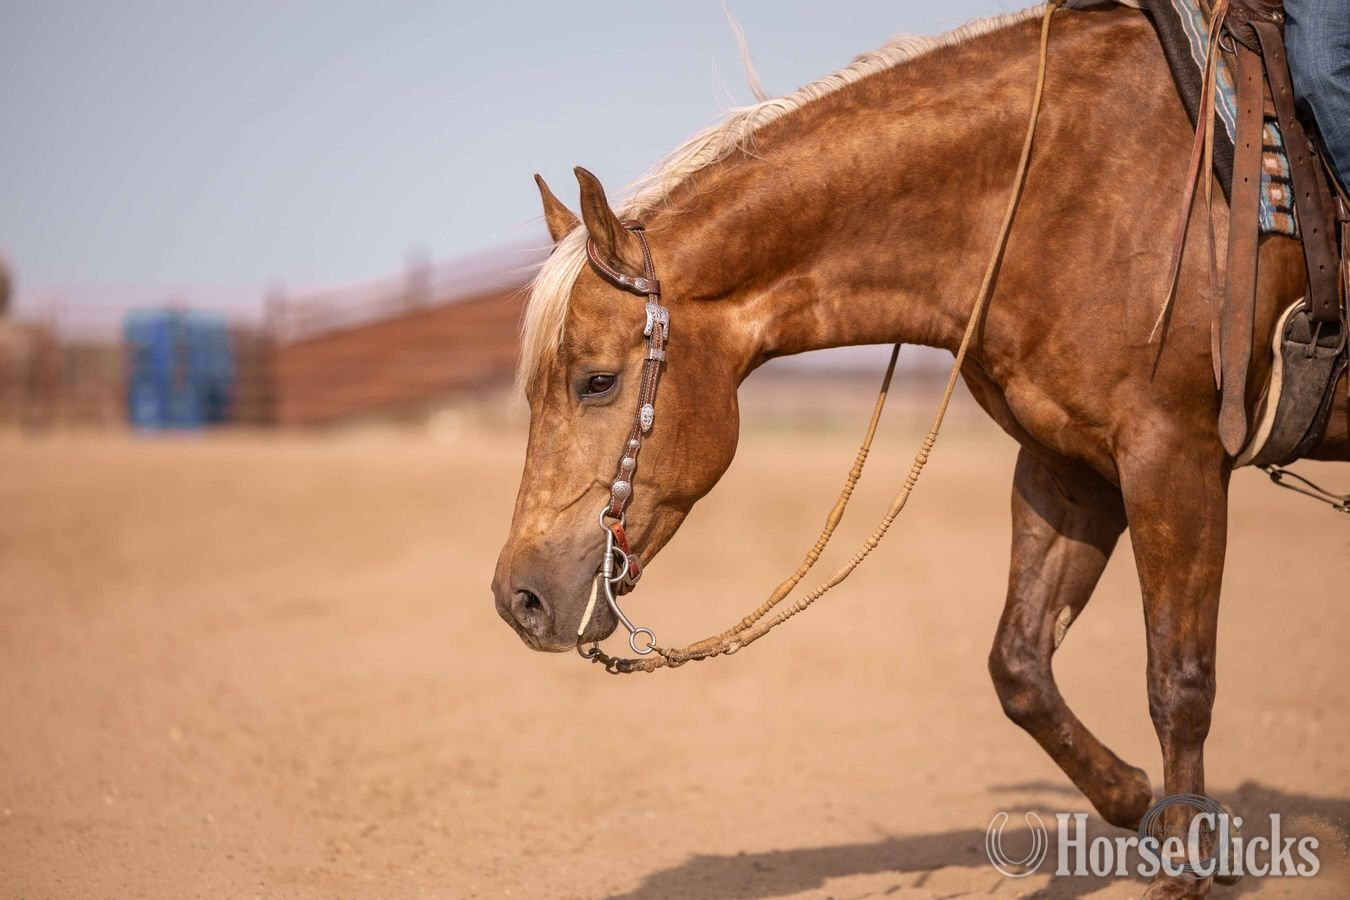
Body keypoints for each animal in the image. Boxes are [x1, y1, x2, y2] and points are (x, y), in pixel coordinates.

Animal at [491, 4, 1348, 895]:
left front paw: (1184, 864)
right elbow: (1019, 668)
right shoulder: (1071, 467)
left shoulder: (1172, 455)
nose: (521, 598)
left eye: (596, 380)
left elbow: (1178, 680)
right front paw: (1134, 799)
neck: (1058, 187)